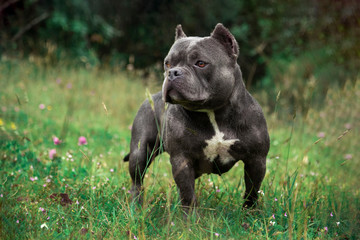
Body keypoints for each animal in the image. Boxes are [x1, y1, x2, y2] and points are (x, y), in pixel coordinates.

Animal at [125, 23, 268, 210]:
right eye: (167, 63)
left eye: (200, 63)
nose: (172, 72)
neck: (213, 112)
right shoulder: (182, 159)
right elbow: (187, 194)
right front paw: (189, 217)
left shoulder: (256, 160)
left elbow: (252, 192)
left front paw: (250, 214)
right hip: (140, 152)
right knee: (137, 181)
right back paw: (135, 206)